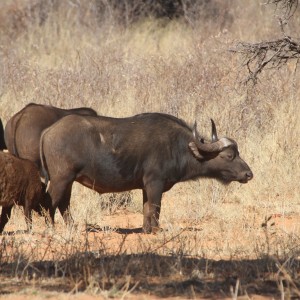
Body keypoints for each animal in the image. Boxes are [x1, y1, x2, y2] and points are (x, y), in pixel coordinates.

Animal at [40, 112, 253, 232]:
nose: (248, 174)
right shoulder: (155, 184)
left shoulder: (145, 188)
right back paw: (50, 228)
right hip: (60, 180)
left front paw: (146, 229)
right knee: (50, 202)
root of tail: (49, 130)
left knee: (64, 204)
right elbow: (156, 208)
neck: (179, 146)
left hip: (68, 181)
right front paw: (156, 230)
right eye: (229, 155)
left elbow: (147, 209)